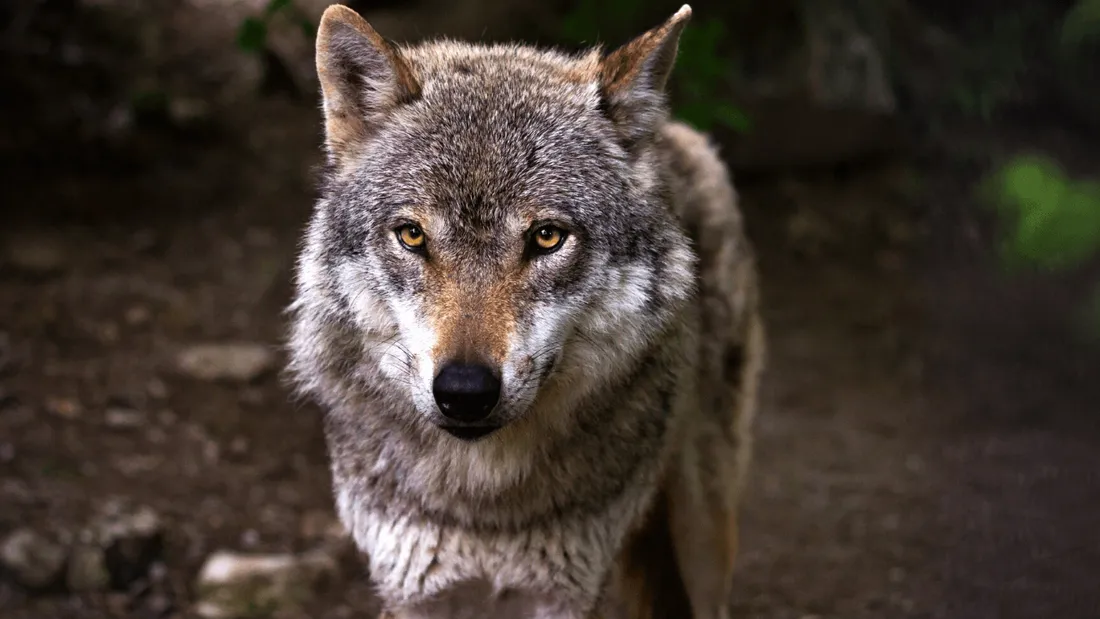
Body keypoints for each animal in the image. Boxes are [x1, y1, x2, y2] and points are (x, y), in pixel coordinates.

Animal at [286, 3, 765, 618]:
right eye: (412, 235)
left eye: (546, 237)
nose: (465, 391)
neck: (485, 504)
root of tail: (675, 133)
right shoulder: (412, 589)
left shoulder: (572, 592)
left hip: (703, 531)